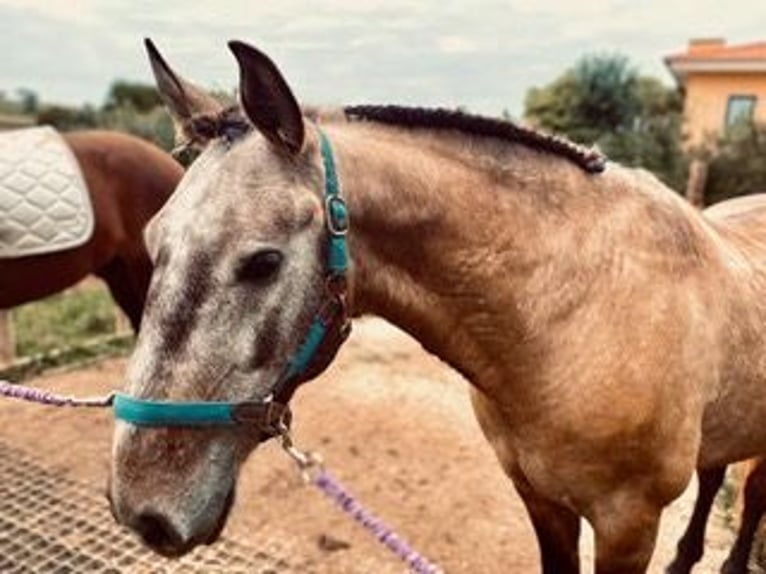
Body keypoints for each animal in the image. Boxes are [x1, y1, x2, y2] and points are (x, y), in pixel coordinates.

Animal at [109, 40, 766, 574]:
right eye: (152, 239)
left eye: (263, 262)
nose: (141, 508)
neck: (575, 318)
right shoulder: (542, 501)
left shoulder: (628, 526)